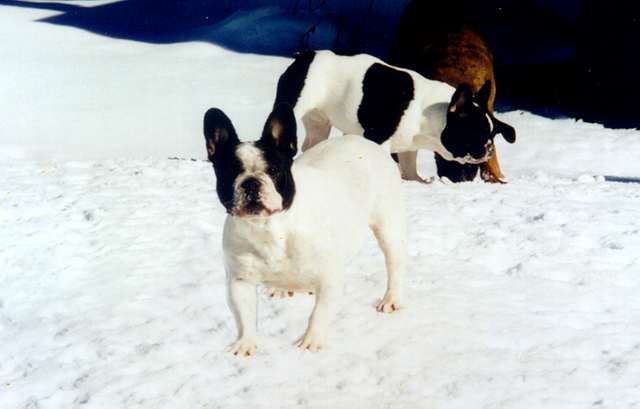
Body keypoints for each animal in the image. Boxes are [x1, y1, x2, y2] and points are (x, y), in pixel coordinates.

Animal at [202, 104, 408, 354]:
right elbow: (244, 315)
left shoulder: (329, 277)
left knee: (394, 263)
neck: (270, 228)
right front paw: (245, 343)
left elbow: (319, 312)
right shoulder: (239, 281)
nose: (251, 182)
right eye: (229, 173)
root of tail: (373, 145)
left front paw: (311, 341)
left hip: (387, 226)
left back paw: (391, 299)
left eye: (274, 170)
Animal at [272, 49, 516, 180]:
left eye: (492, 135)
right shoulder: (377, 138)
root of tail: (304, 56)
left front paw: (416, 182)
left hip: (320, 122)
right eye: (476, 133)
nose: (489, 147)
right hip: (293, 106)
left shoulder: (409, 147)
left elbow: (409, 168)